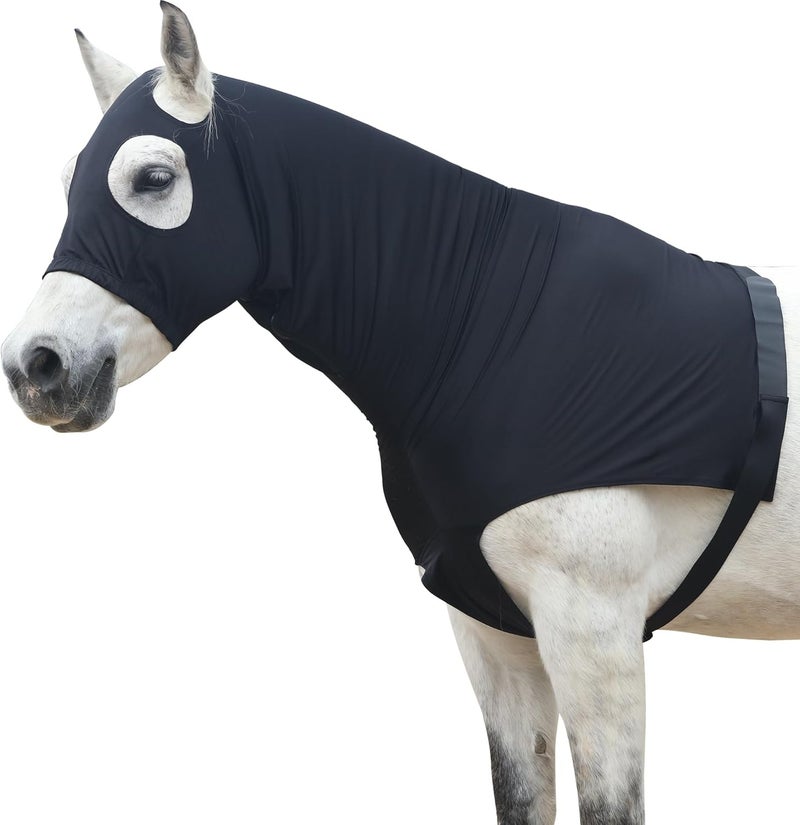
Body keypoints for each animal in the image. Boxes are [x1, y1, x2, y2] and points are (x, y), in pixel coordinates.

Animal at [2, 4, 799, 824]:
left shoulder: (593, 631)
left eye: (153, 179)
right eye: (67, 184)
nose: (38, 366)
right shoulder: (492, 632)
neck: (496, 332)